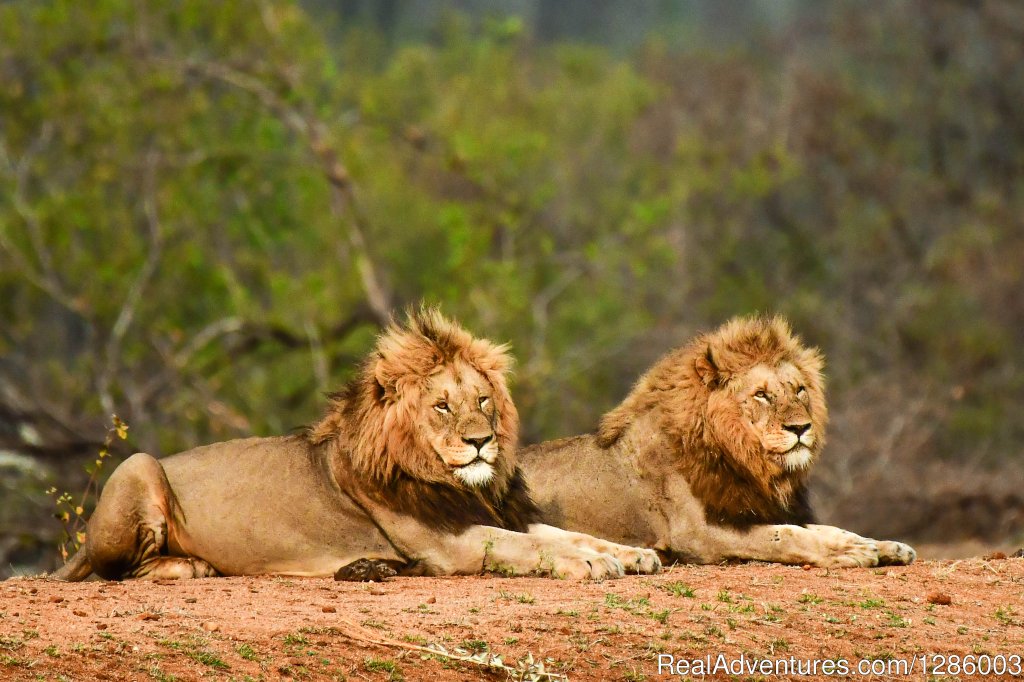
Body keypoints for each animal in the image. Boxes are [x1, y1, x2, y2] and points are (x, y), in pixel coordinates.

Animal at [51, 307, 659, 577]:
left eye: (483, 400)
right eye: (442, 406)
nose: (481, 442)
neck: (459, 484)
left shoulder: (489, 513)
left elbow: (565, 533)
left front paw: (631, 554)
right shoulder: (449, 543)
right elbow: (530, 547)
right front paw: (592, 564)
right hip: (137, 463)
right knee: (119, 570)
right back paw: (191, 567)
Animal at [524, 315, 917, 565]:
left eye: (800, 390)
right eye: (762, 395)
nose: (801, 428)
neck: (744, 460)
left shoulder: (759, 508)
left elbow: (824, 527)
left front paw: (883, 545)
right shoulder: (697, 534)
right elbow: (785, 535)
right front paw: (850, 553)